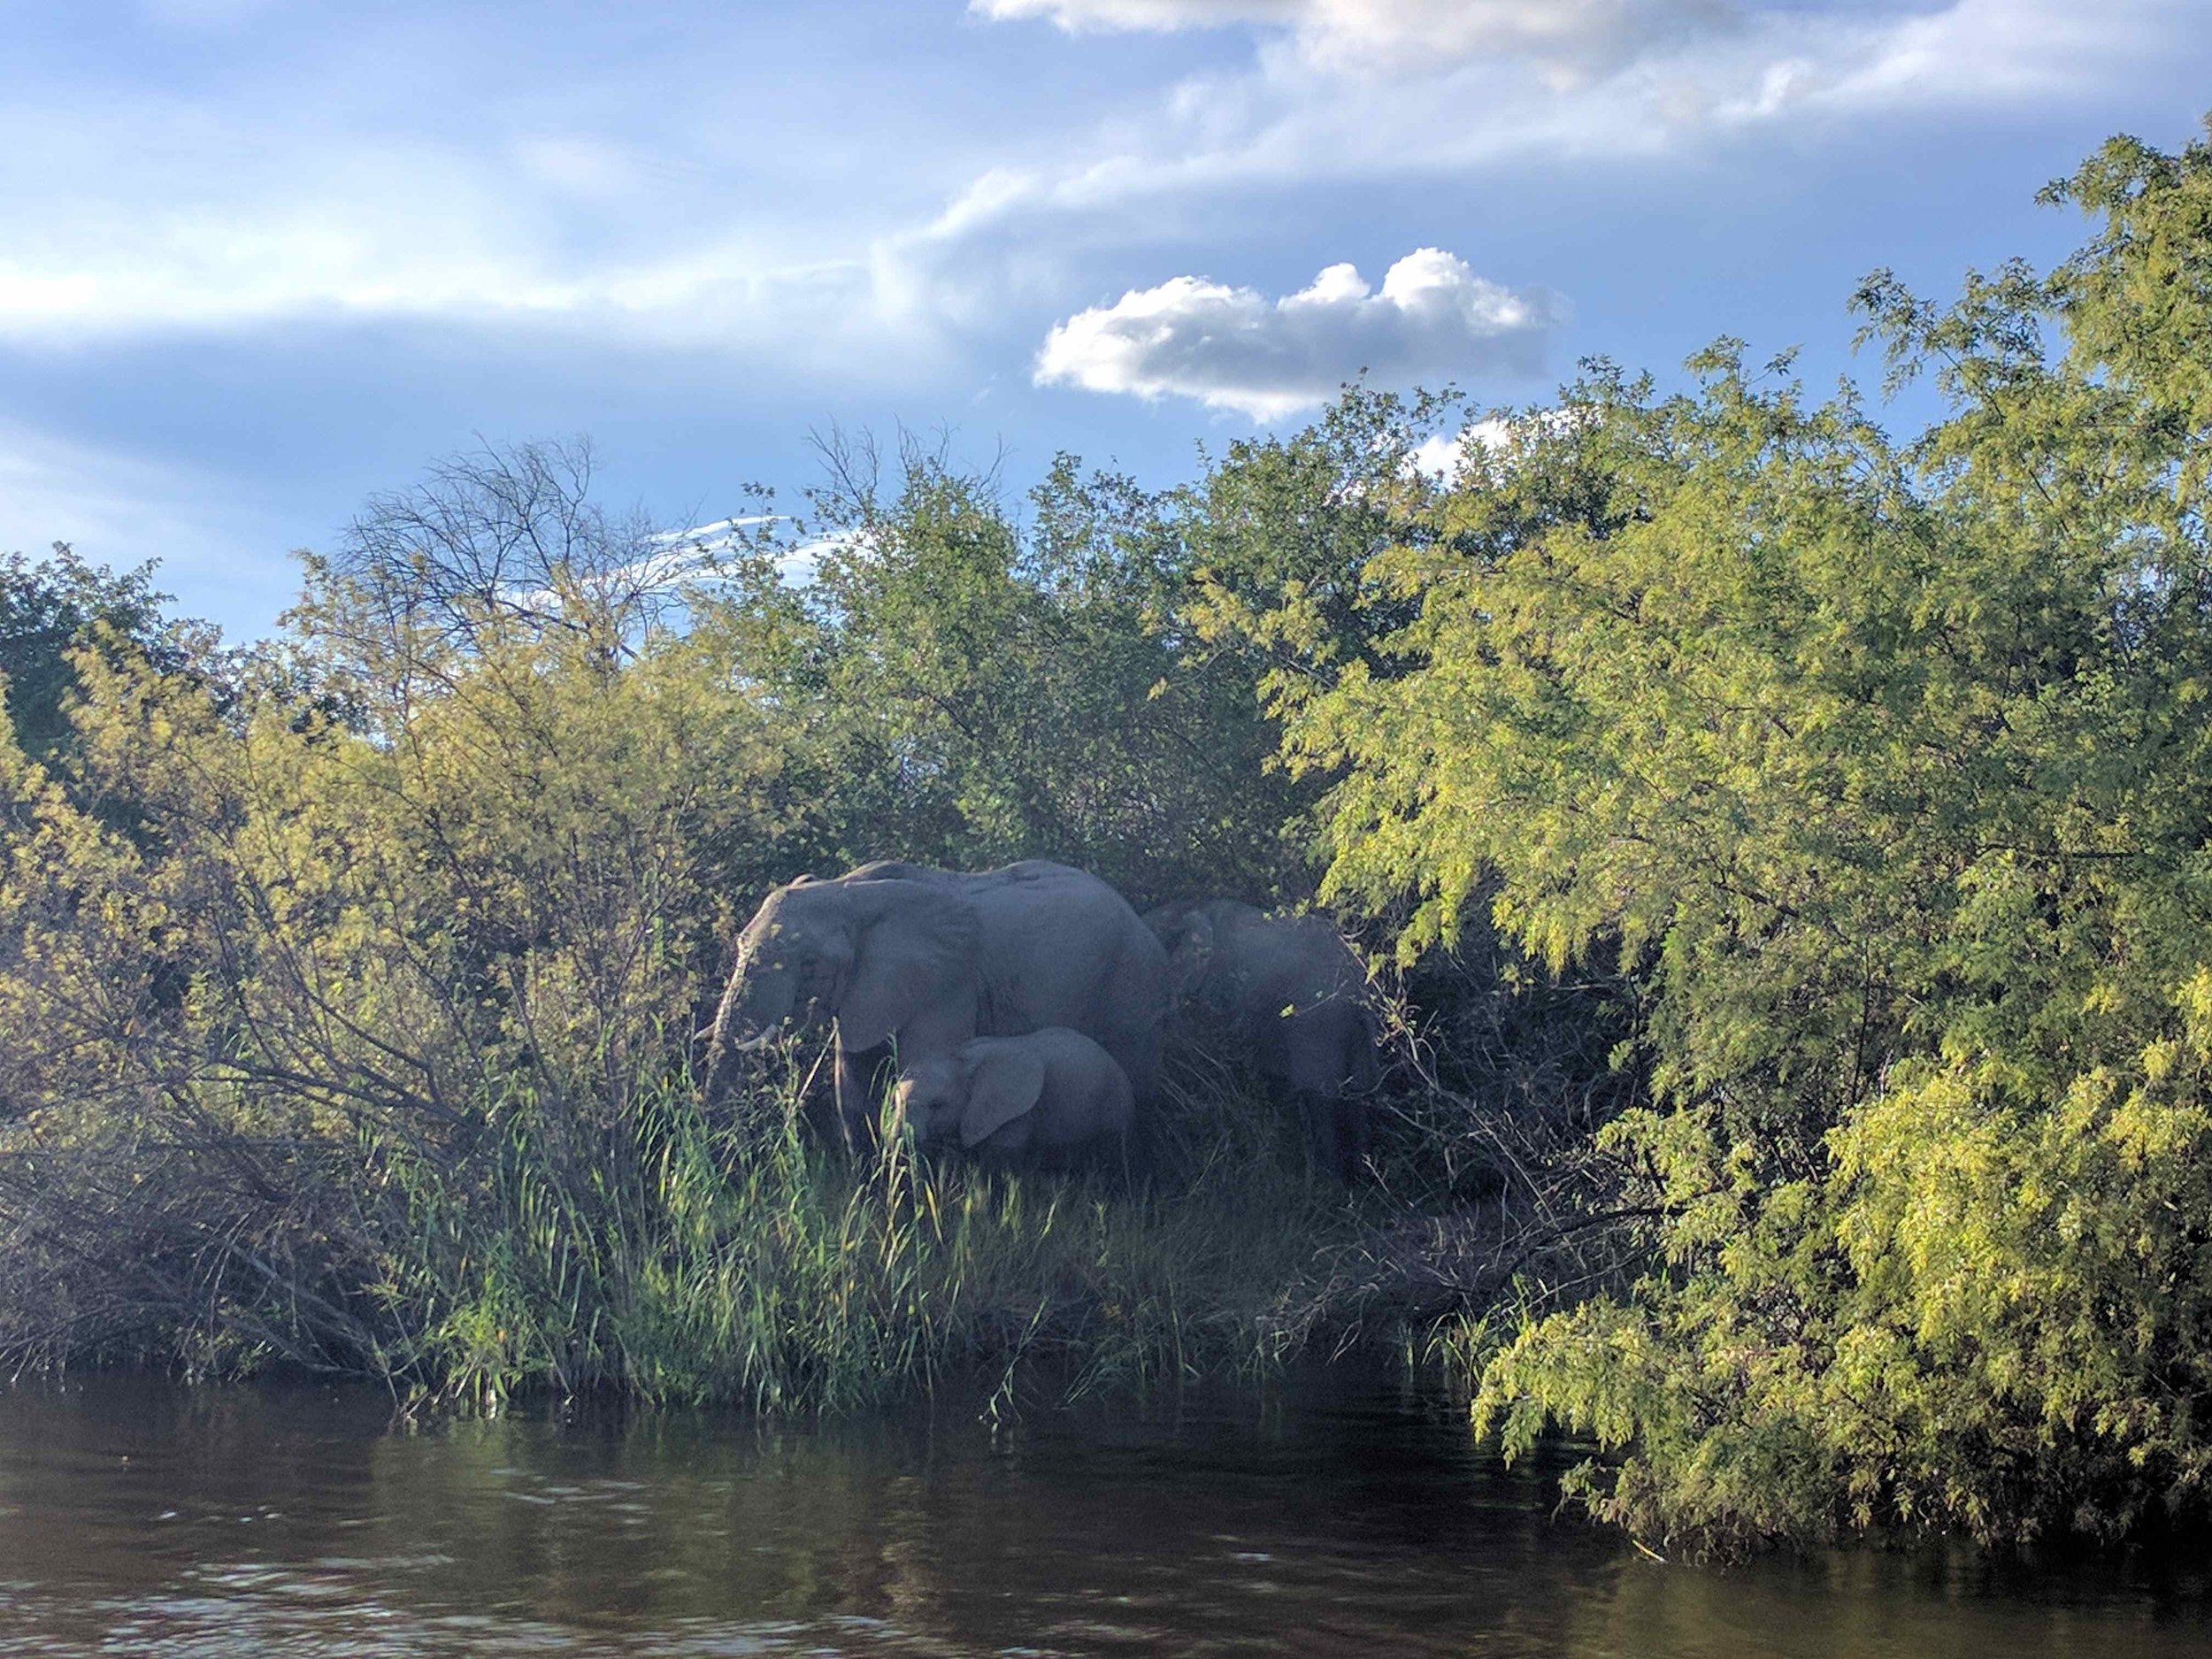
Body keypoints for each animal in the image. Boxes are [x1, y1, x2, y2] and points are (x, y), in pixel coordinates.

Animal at [707, 859, 1168, 1151]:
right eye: (741, 944)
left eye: (808, 965)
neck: (849, 892)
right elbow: (853, 1085)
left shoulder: (948, 982)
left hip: (1131, 990)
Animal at [1145, 899, 1382, 1181]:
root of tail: (1360, 993)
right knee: (1359, 1101)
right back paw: (1361, 1181)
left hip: (1318, 1027)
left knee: (1322, 1102)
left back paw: (1330, 1180)